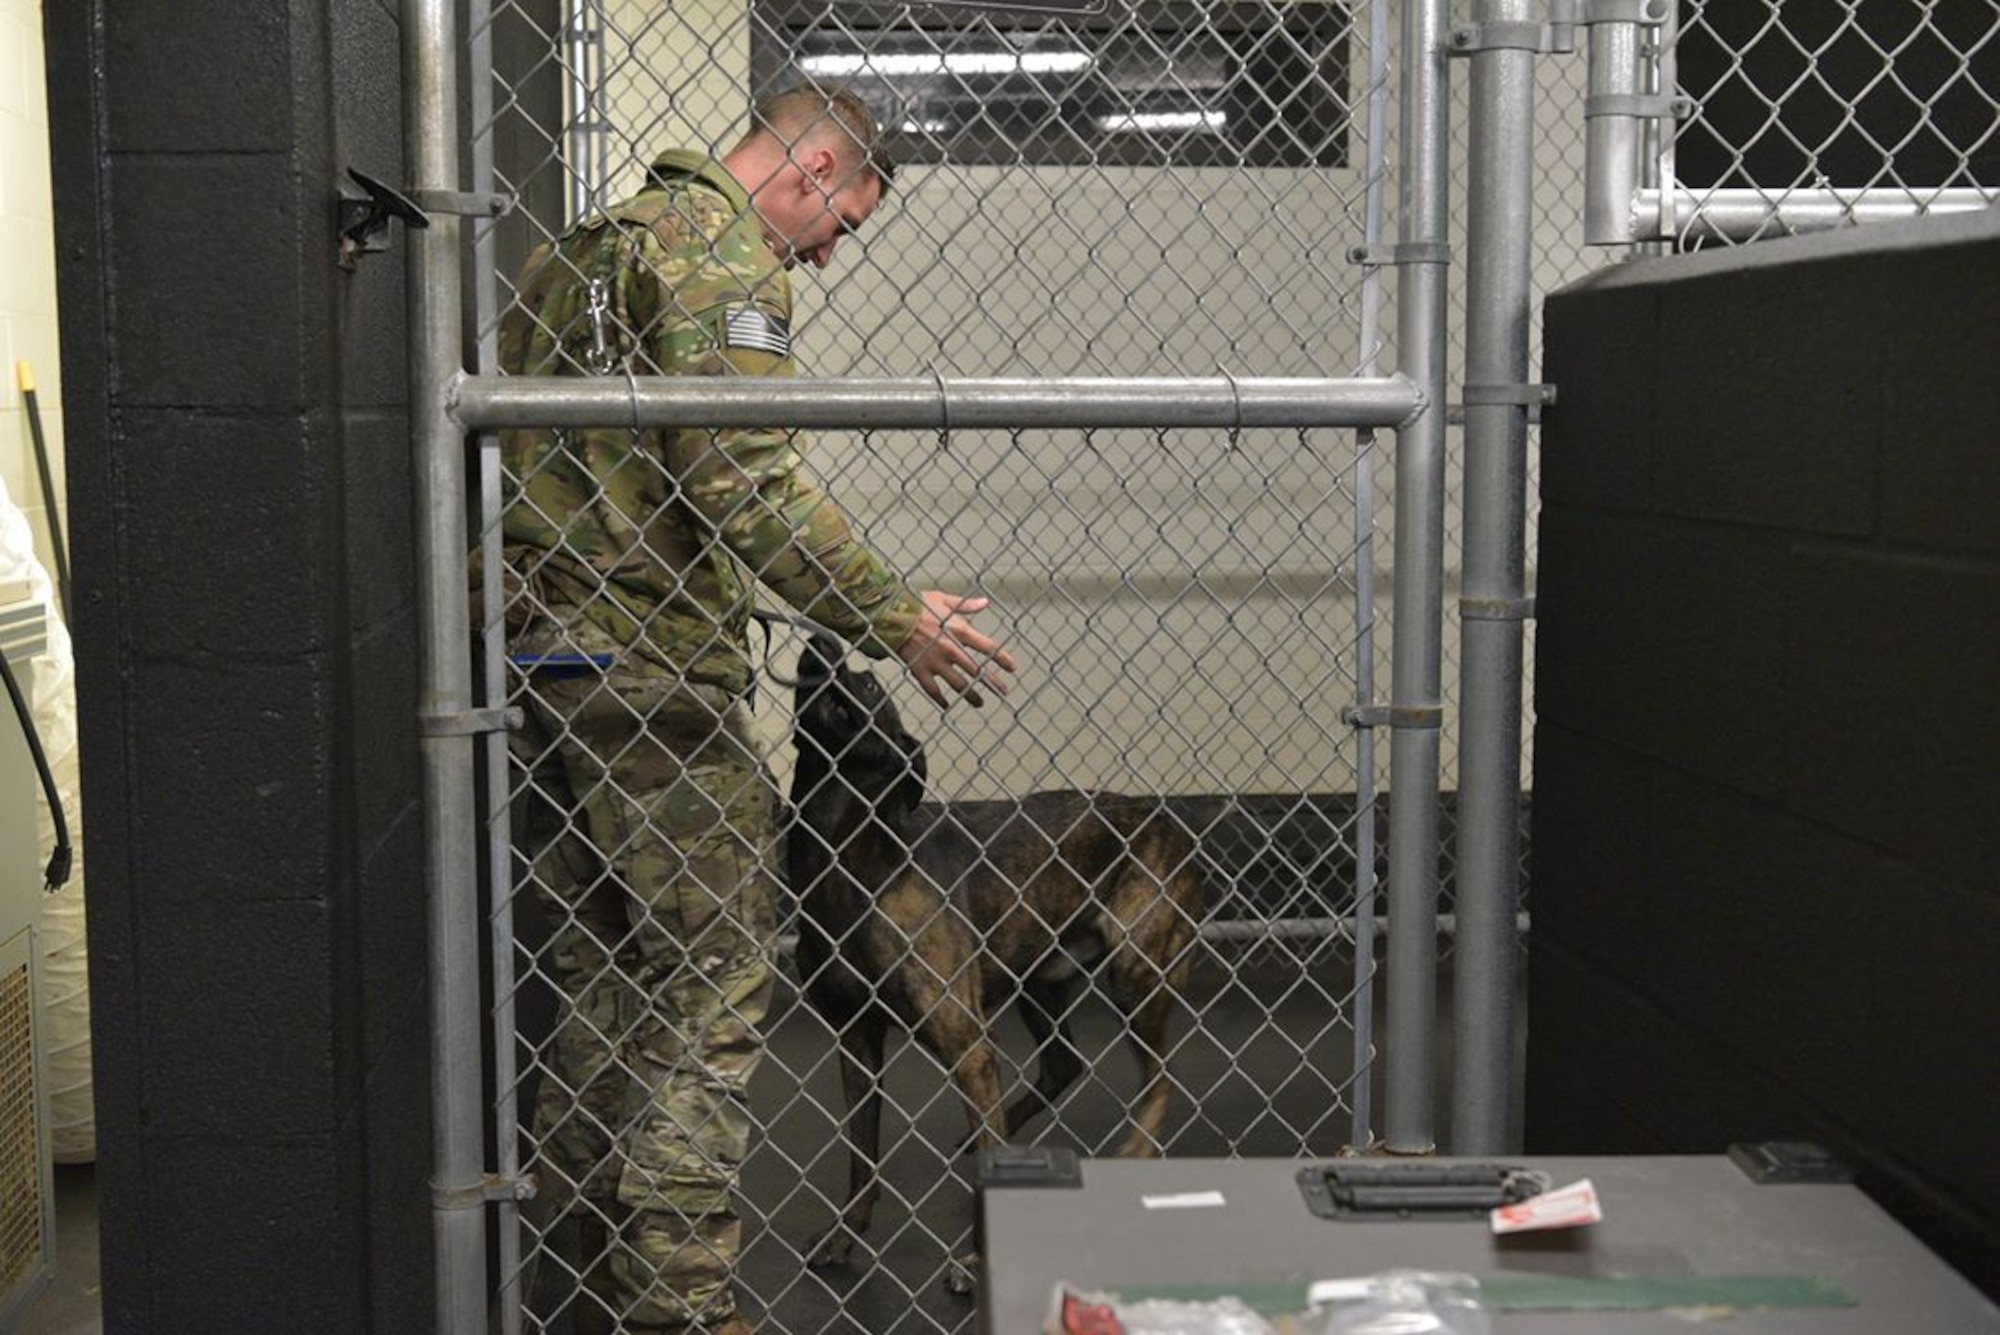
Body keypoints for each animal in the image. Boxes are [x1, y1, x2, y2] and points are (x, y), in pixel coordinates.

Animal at [784, 631, 1200, 1271]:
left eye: (870, 683)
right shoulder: (856, 1040)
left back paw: (1133, 1149)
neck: (855, 865)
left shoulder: (969, 1045)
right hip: (1039, 982)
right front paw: (845, 1233)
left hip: (1136, 976)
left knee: (1161, 1078)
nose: (821, 637)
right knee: (1063, 1064)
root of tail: (1169, 820)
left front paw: (974, 1265)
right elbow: (861, 1156)